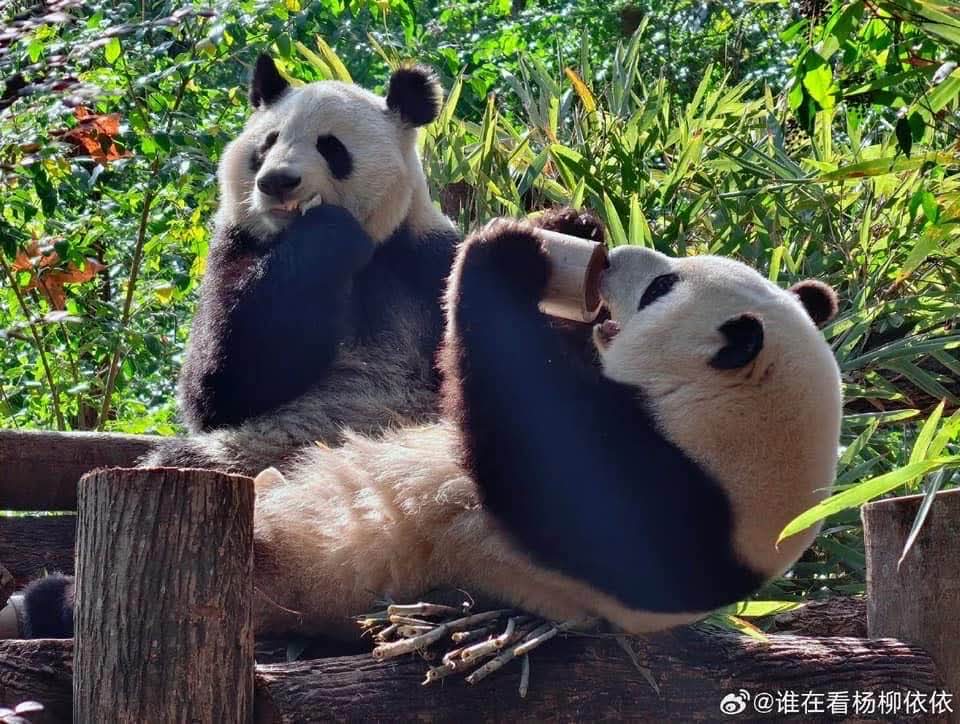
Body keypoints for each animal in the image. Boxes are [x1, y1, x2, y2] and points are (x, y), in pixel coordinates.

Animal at [7, 211, 842, 640]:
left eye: (664, 286)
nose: (615, 258)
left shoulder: (678, 510)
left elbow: (539, 458)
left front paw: (507, 259)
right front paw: (557, 225)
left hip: (295, 584)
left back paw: (45, 606)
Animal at [144, 54, 460, 474]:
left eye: (331, 147)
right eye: (267, 144)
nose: (277, 181)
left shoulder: (428, 260)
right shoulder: (236, 248)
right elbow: (219, 386)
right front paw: (328, 233)